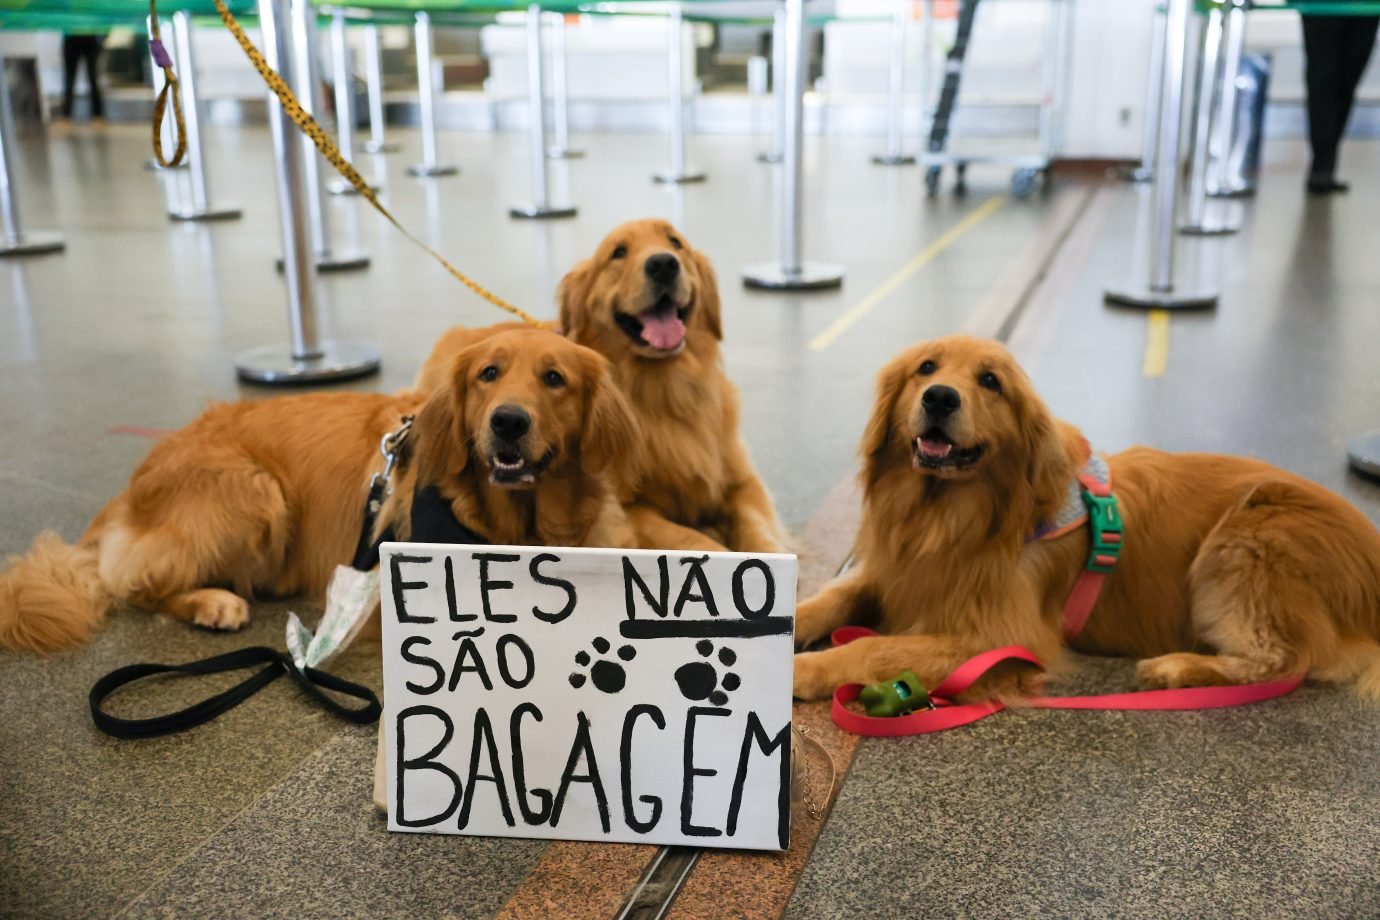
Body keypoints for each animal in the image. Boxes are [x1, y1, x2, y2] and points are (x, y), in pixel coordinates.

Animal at [552, 220, 789, 557]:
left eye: (676, 243)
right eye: (618, 252)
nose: (663, 264)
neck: (666, 391)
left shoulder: (742, 482)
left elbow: (757, 530)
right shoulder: (626, 509)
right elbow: (692, 539)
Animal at [794, 337, 1380, 706]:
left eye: (990, 381)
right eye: (927, 368)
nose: (940, 397)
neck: (947, 517)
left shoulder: (1001, 636)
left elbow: (874, 646)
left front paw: (802, 670)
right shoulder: (893, 571)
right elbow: (833, 597)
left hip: (1247, 537)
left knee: (1281, 659)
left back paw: (1175, 668)